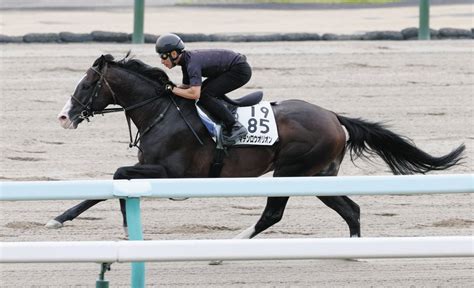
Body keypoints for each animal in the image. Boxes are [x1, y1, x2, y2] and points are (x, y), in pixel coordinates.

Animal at [51, 53, 462, 244]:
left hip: (291, 171)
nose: (64, 116)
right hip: (318, 175)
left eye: (86, 85)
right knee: (352, 210)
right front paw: (61, 217)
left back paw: (233, 245)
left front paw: (115, 225)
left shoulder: (172, 173)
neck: (161, 111)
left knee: (273, 215)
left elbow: (117, 176)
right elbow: (113, 183)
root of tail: (333, 116)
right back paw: (353, 252)